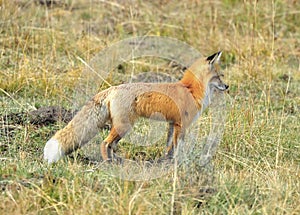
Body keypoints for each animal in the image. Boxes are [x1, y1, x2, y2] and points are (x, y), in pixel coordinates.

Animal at [44, 51, 227, 164]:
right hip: (124, 127)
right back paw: (108, 164)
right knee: (105, 143)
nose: (227, 86)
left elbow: (168, 147)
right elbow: (176, 148)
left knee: (111, 145)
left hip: (122, 128)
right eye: (219, 77)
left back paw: (117, 161)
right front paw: (176, 163)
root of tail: (113, 88)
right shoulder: (181, 125)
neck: (191, 89)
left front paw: (165, 162)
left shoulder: (172, 124)